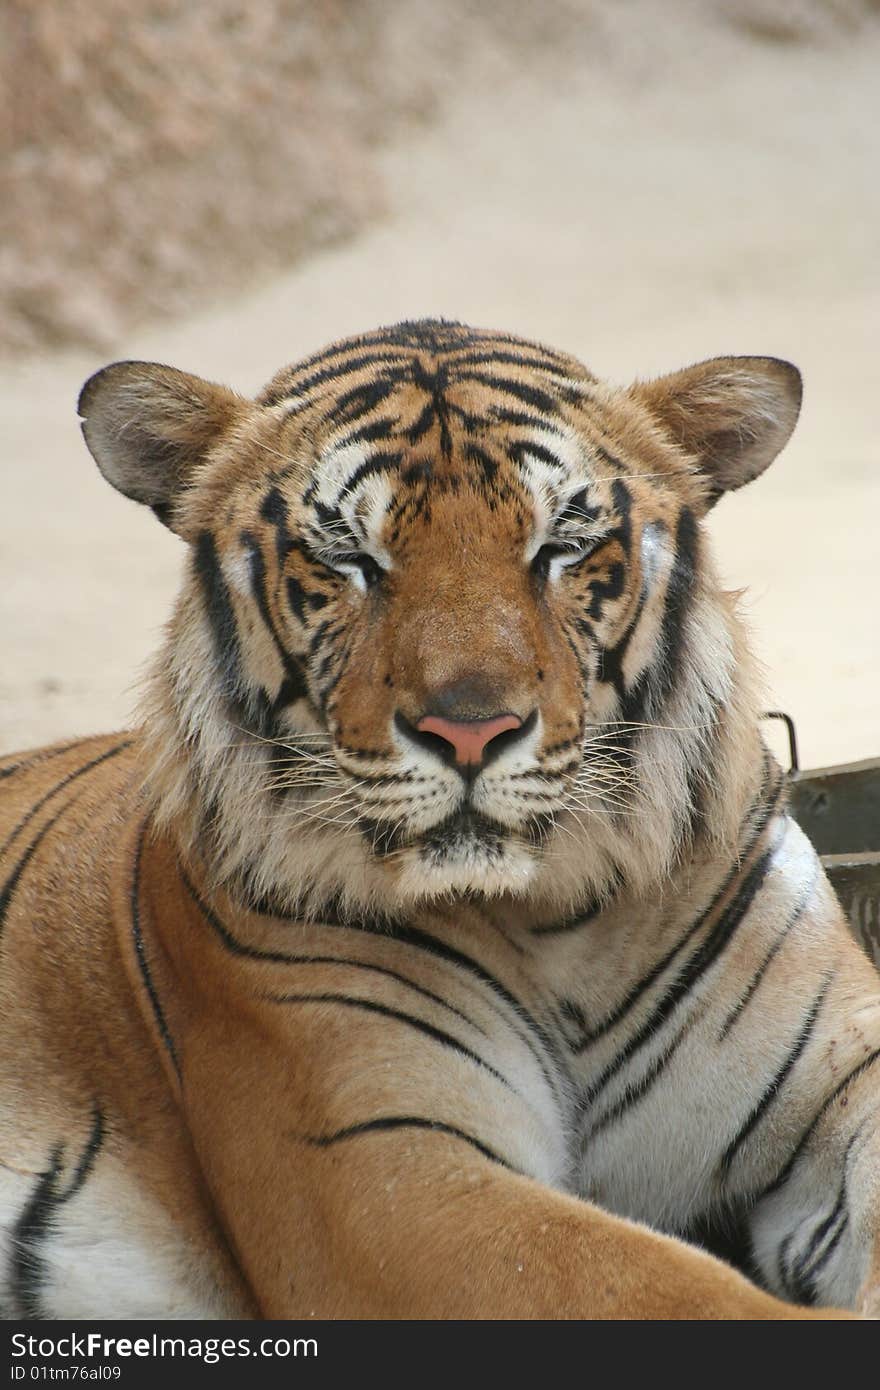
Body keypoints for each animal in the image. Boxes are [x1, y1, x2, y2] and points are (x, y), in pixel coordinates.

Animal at [0, 318, 873, 1323]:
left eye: (560, 546)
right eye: (348, 558)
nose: (470, 729)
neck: (560, 917)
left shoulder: (841, 1072)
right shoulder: (386, 1171)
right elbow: (669, 1290)